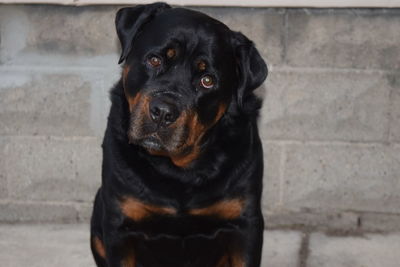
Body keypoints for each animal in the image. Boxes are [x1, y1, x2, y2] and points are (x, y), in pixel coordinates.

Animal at [89, 2, 268, 267]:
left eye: (207, 80)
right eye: (154, 60)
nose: (163, 112)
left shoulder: (245, 225)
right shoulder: (119, 225)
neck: (178, 169)